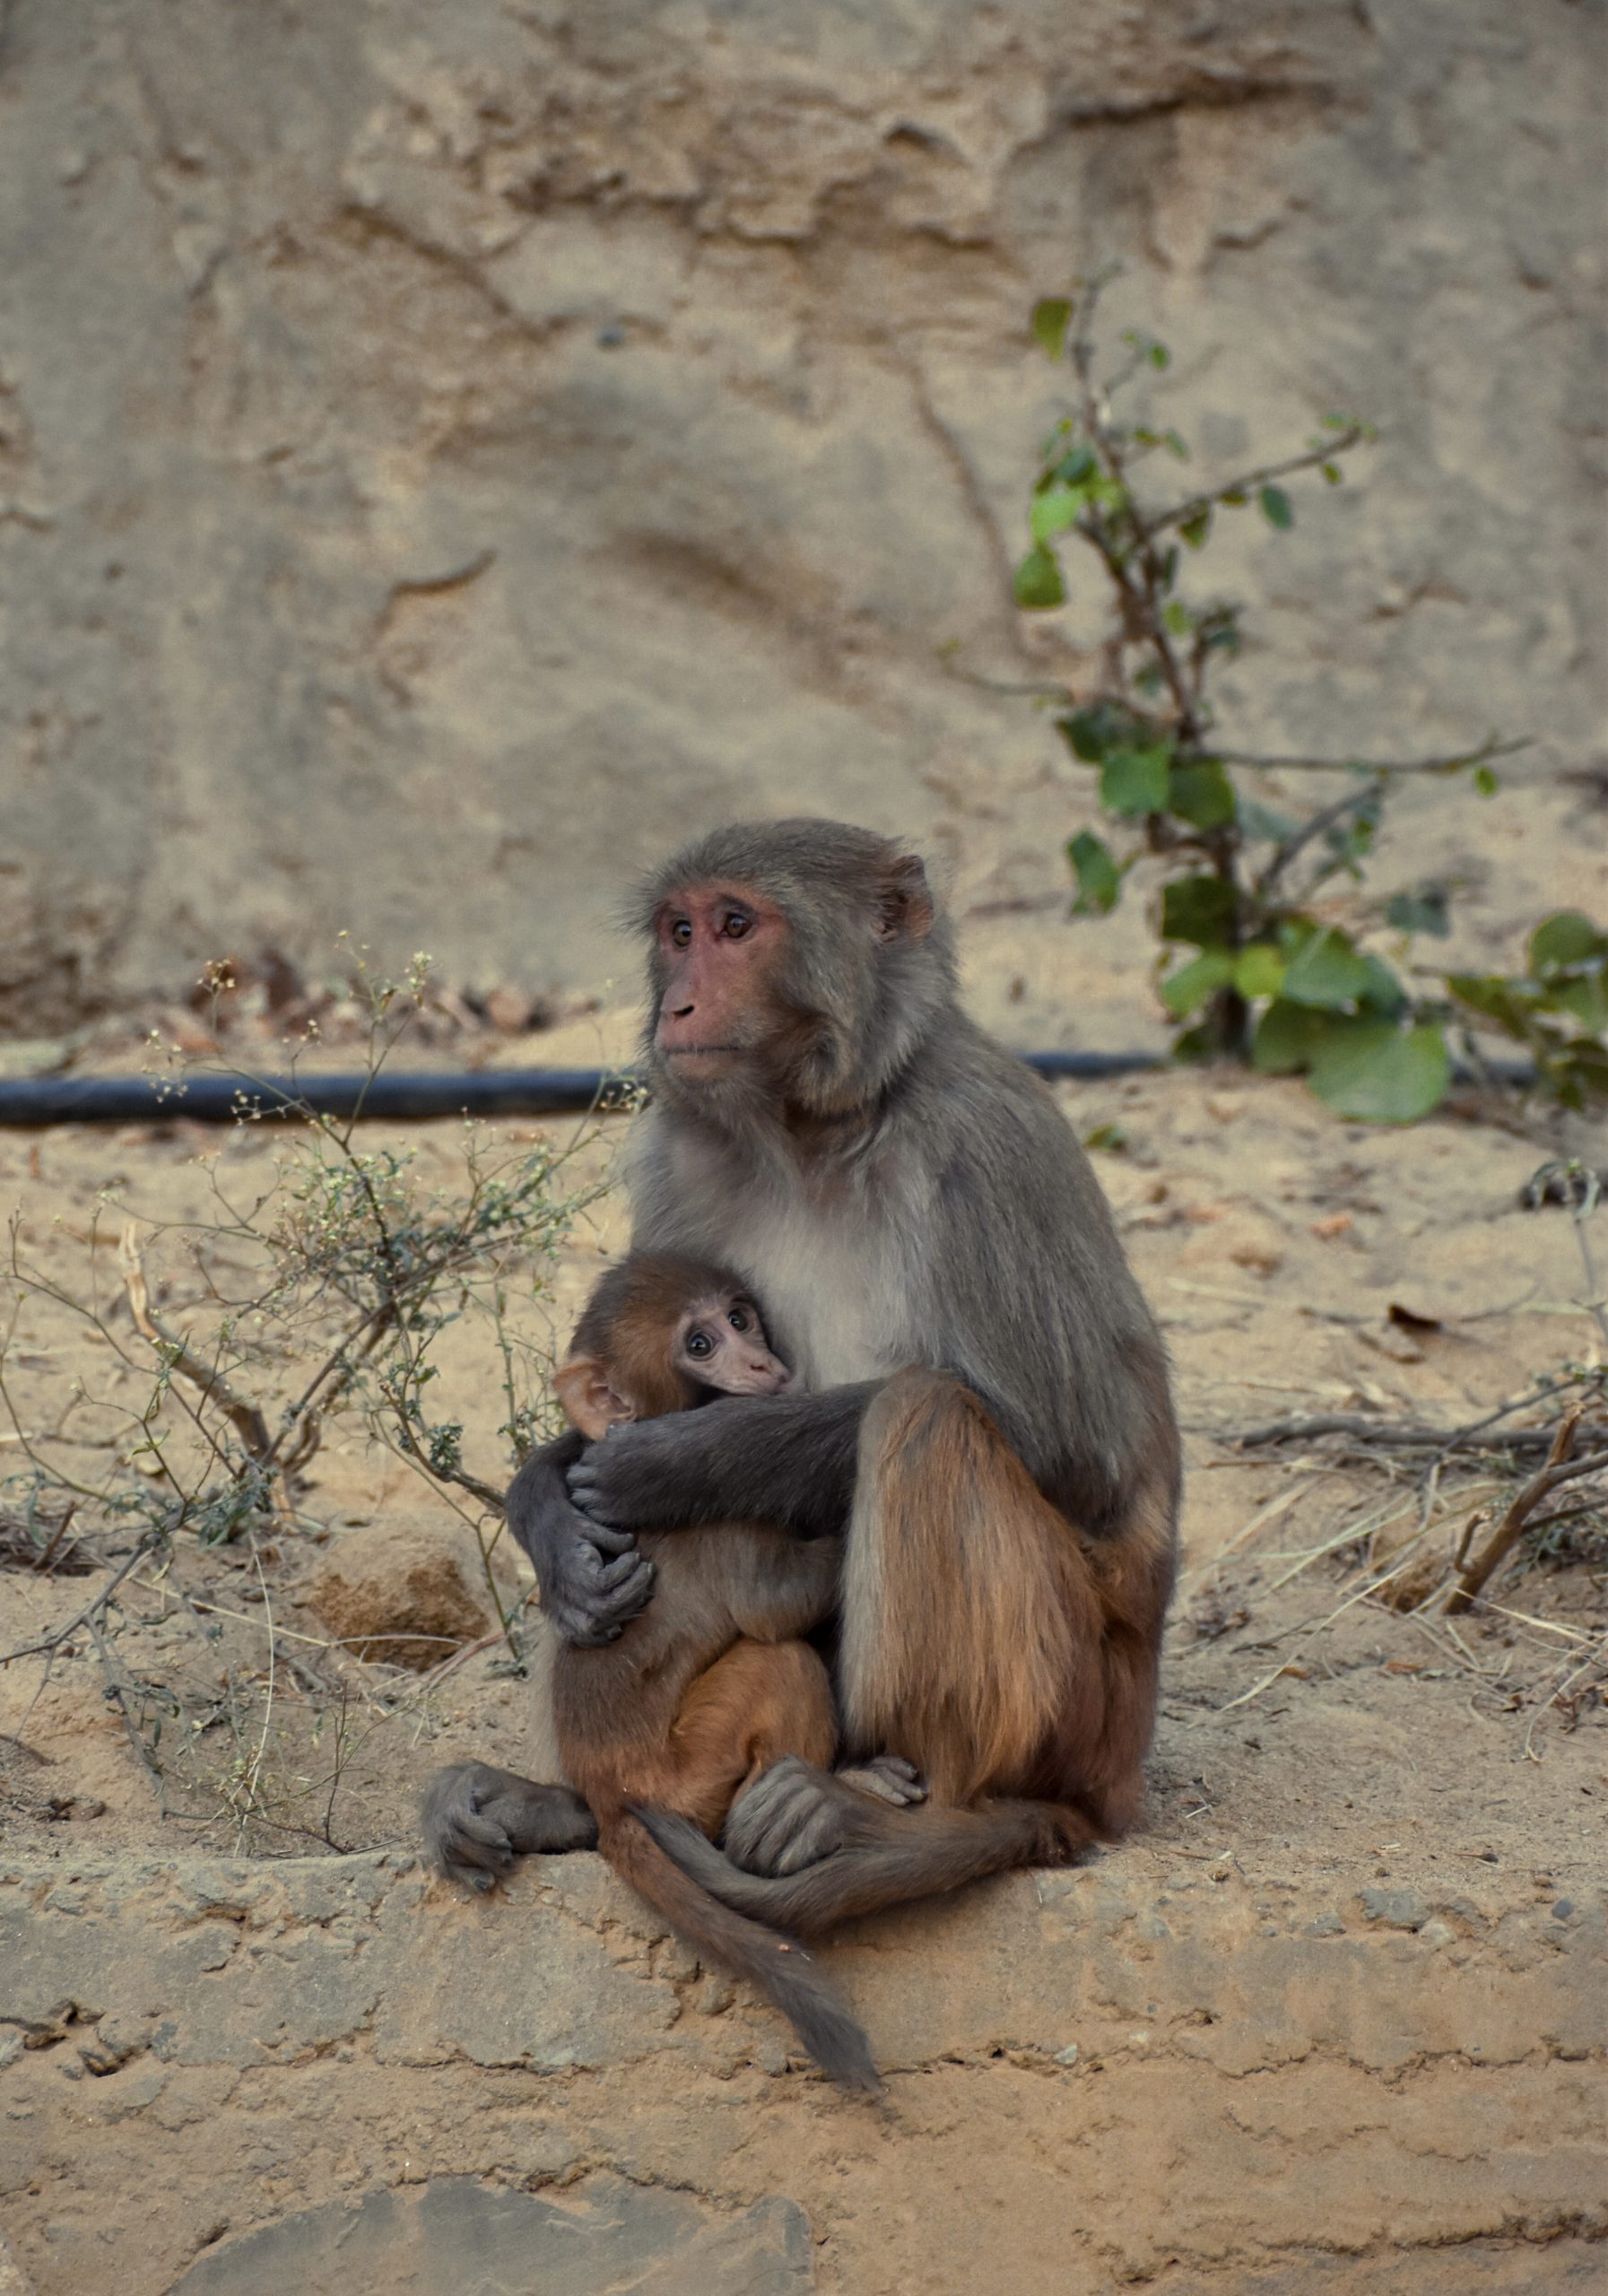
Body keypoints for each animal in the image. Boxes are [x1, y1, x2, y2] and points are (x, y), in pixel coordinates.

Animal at [427, 1257, 905, 2102]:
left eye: (740, 1318)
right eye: (701, 1344)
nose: (762, 1365)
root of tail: (612, 1794)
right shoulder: (724, 1506)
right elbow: (773, 1607)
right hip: (691, 1773)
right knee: (777, 1660)